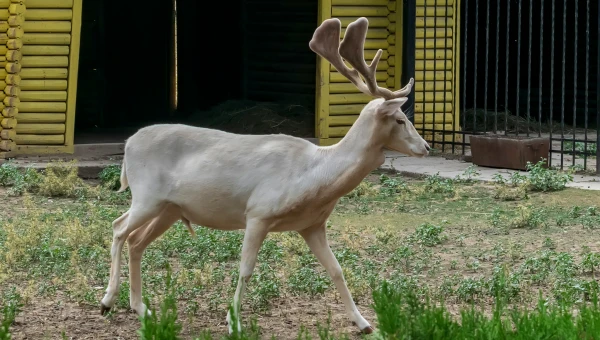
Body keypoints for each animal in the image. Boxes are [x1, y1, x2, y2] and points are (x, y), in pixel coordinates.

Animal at [101, 17, 432, 334]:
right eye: (400, 120)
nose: (427, 147)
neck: (315, 176)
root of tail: (128, 144)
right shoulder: (258, 212)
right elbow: (245, 269)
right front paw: (233, 322)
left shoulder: (312, 225)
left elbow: (336, 269)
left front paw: (364, 323)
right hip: (147, 196)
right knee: (118, 228)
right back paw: (106, 302)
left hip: (170, 208)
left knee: (136, 241)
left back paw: (141, 308)